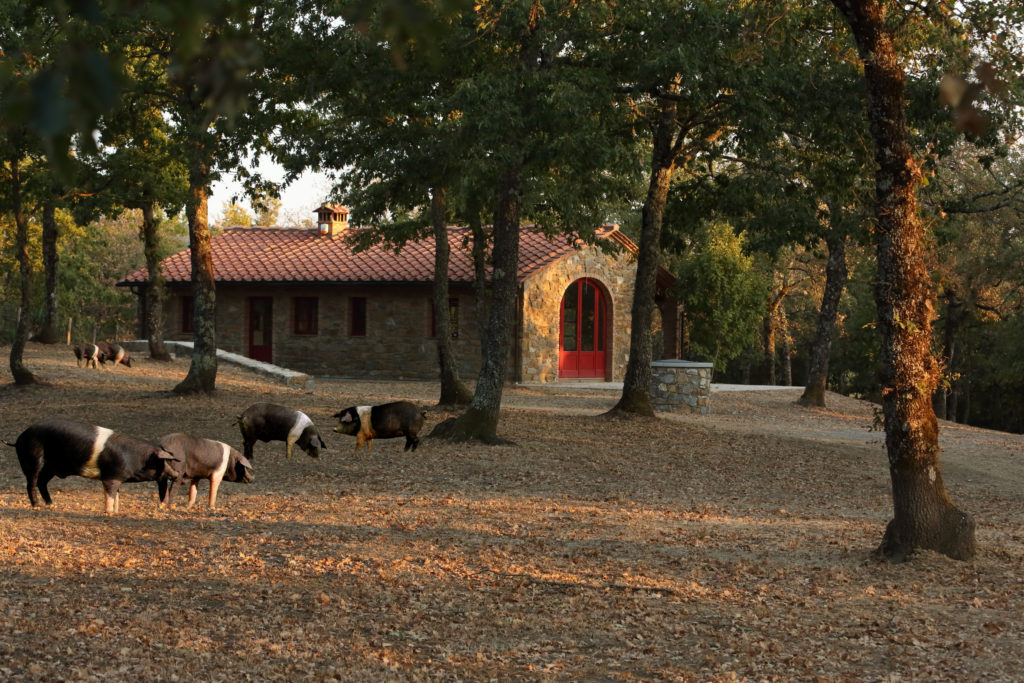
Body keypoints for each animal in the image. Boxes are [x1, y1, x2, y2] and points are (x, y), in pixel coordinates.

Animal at [7, 419, 180, 516]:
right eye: (165, 462)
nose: (177, 473)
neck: (136, 459)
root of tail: (19, 438)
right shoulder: (111, 477)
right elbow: (110, 495)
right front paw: (109, 513)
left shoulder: (116, 477)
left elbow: (116, 495)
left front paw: (117, 511)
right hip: (33, 459)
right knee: (31, 483)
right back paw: (36, 506)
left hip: (51, 467)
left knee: (42, 482)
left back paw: (51, 504)